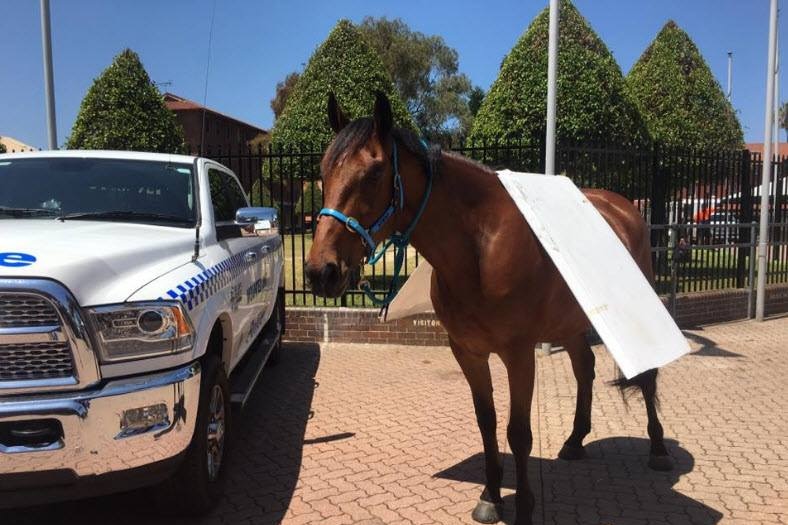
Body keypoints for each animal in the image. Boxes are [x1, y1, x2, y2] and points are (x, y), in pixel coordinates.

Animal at [304, 92, 676, 520]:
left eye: (375, 173)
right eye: (324, 171)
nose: (321, 272)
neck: (481, 250)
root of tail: (624, 208)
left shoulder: (519, 354)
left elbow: (519, 433)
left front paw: (525, 507)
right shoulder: (468, 352)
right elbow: (487, 423)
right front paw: (491, 496)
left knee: (646, 376)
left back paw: (658, 449)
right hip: (569, 323)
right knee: (585, 368)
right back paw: (574, 441)